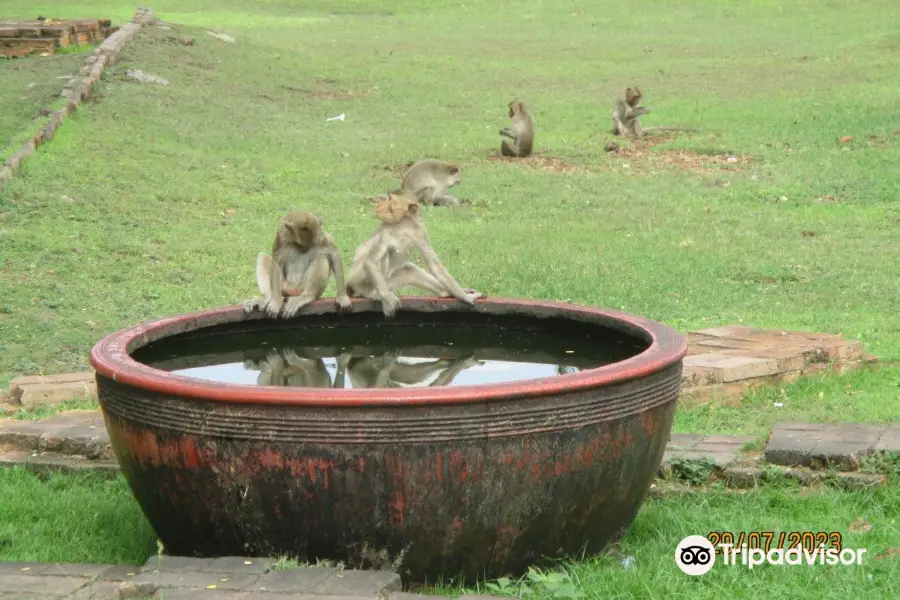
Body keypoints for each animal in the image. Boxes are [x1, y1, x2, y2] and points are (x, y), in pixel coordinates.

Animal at [344, 192, 486, 318]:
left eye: (390, 199)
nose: (379, 204)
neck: (404, 225)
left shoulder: (420, 232)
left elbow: (434, 264)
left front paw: (463, 295)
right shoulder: (385, 232)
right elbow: (370, 261)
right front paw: (387, 300)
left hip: (388, 281)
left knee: (409, 269)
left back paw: (445, 292)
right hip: (359, 280)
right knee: (384, 256)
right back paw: (373, 294)